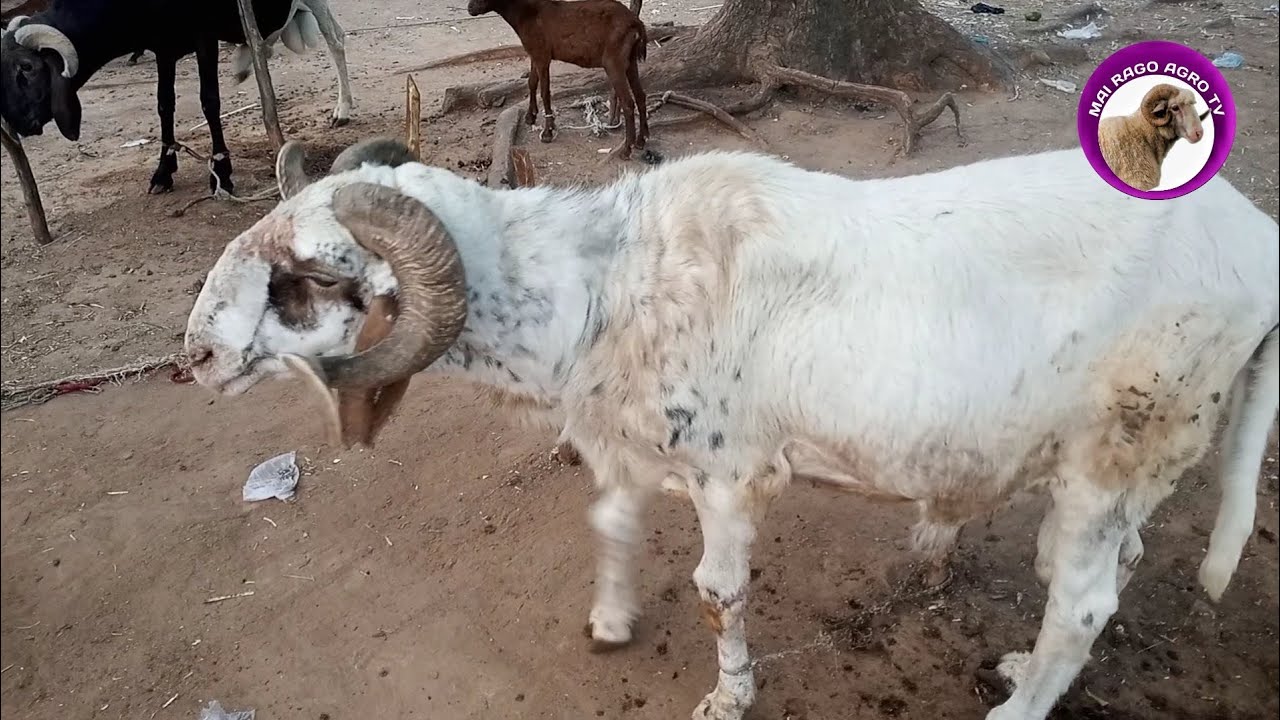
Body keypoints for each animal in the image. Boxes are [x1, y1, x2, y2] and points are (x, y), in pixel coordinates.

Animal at [0, 0, 352, 195]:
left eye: (27, 68)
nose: (18, 123)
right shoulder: (163, 45)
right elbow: (164, 104)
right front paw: (164, 170)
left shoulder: (204, 35)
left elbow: (209, 100)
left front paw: (222, 172)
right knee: (262, 43)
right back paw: (243, 62)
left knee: (335, 38)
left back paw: (343, 109)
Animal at [183, 141, 1279, 720]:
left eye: (305, 279)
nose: (191, 357)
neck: (598, 287)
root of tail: (1256, 240)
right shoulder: (627, 444)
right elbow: (612, 528)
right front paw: (611, 622)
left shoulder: (726, 473)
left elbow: (718, 594)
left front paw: (727, 695)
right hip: (1144, 459)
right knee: (1113, 567)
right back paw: (1020, 666)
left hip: (1120, 442)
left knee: (1085, 601)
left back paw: (1016, 706)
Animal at [467, 0, 649, 159]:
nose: (470, 8)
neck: (526, 13)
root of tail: (637, 23)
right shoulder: (534, 53)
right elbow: (531, 82)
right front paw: (530, 116)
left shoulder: (542, 55)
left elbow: (545, 91)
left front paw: (548, 132)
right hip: (631, 60)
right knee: (641, 95)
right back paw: (642, 139)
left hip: (613, 61)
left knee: (628, 102)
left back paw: (627, 149)